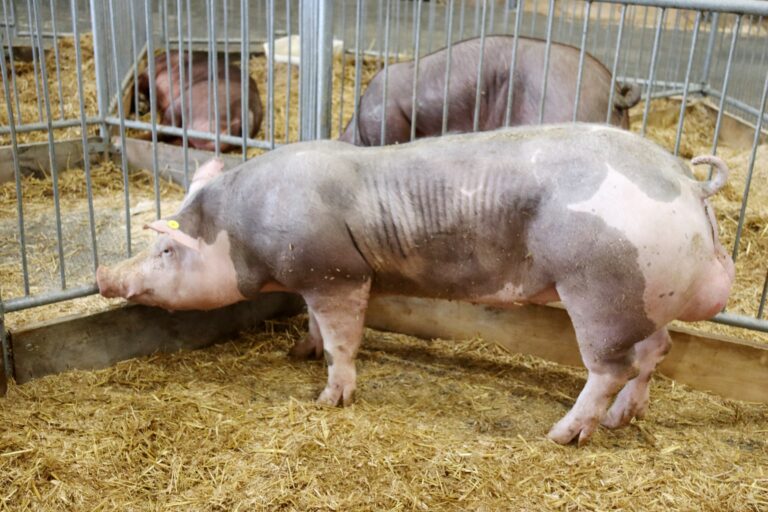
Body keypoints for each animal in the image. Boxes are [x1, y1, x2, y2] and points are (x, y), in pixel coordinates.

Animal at [97, 124, 734, 445]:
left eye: (167, 249)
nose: (105, 276)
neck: (241, 230)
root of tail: (685, 180)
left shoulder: (337, 273)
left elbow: (342, 338)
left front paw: (329, 399)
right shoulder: (318, 279)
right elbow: (314, 324)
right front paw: (298, 351)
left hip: (599, 289)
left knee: (611, 367)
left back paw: (562, 434)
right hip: (644, 299)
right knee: (657, 351)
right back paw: (624, 420)